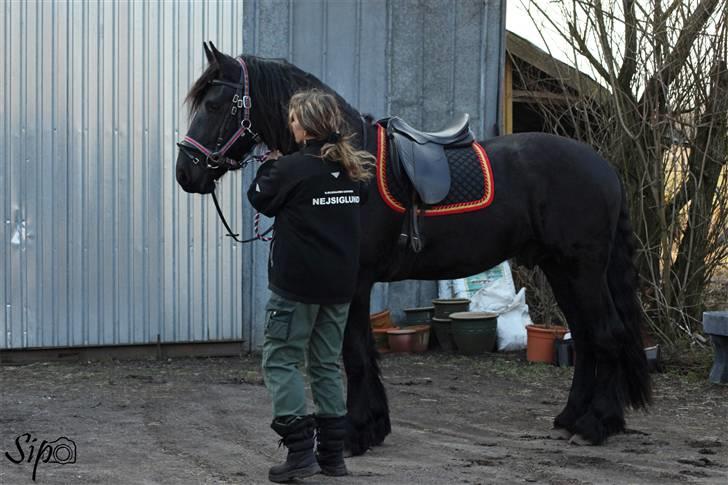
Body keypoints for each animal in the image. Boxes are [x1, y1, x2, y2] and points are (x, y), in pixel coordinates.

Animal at [178, 44, 656, 454]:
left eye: (215, 105)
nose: (186, 172)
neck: (347, 158)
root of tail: (603, 168)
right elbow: (361, 351)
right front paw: (373, 425)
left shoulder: (356, 281)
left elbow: (354, 352)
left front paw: (357, 433)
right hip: (561, 270)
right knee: (588, 340)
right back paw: (572, 418)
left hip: (582, 269)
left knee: (606, 335)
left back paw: (596, 425)